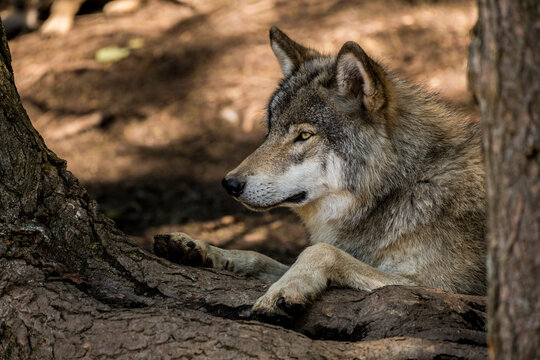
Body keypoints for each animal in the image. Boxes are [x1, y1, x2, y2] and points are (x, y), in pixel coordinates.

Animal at [154, 27, 488, 316]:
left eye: (304, 135)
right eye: (270, 130)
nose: (230, 184)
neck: (402, 187)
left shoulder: (447, 290)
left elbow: (320, 250)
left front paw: (283, 291)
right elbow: (259, 256)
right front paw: (200, 248)